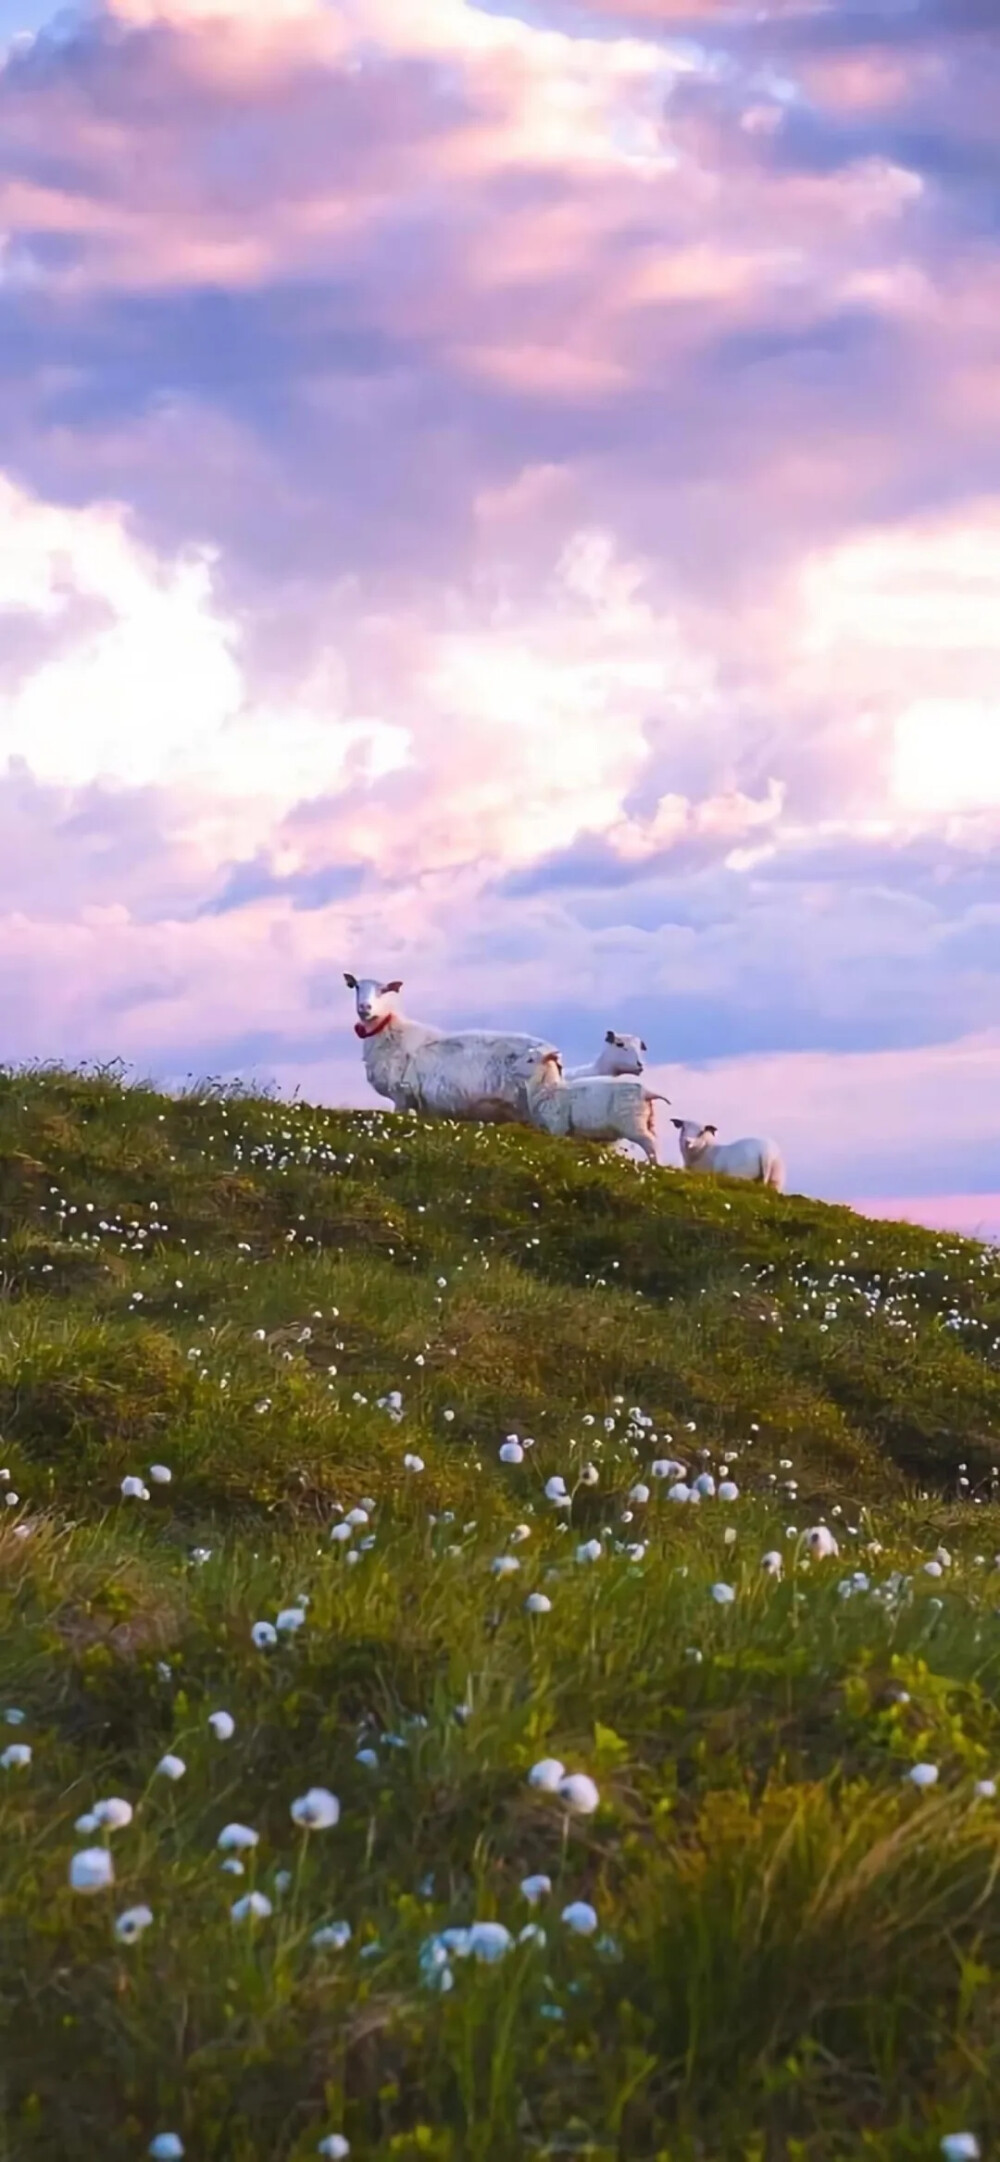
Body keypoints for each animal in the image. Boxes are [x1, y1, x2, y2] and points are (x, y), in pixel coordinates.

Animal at [345, 972, 561, 1124]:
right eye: (356, 987)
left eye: (384, 990)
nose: (365, 1008)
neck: (390, 1034)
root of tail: (552, 1054)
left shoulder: (402, 1095)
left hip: (542, 1107)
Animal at [516, 1046, 673, 1167]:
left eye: (530, 1060)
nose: (513, 1068)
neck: (548, 1088)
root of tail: (646, 1092)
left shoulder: (558, 1128)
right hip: (648, 1121)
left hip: (633, 1123)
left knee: (649, 1142)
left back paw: (654, 1167)